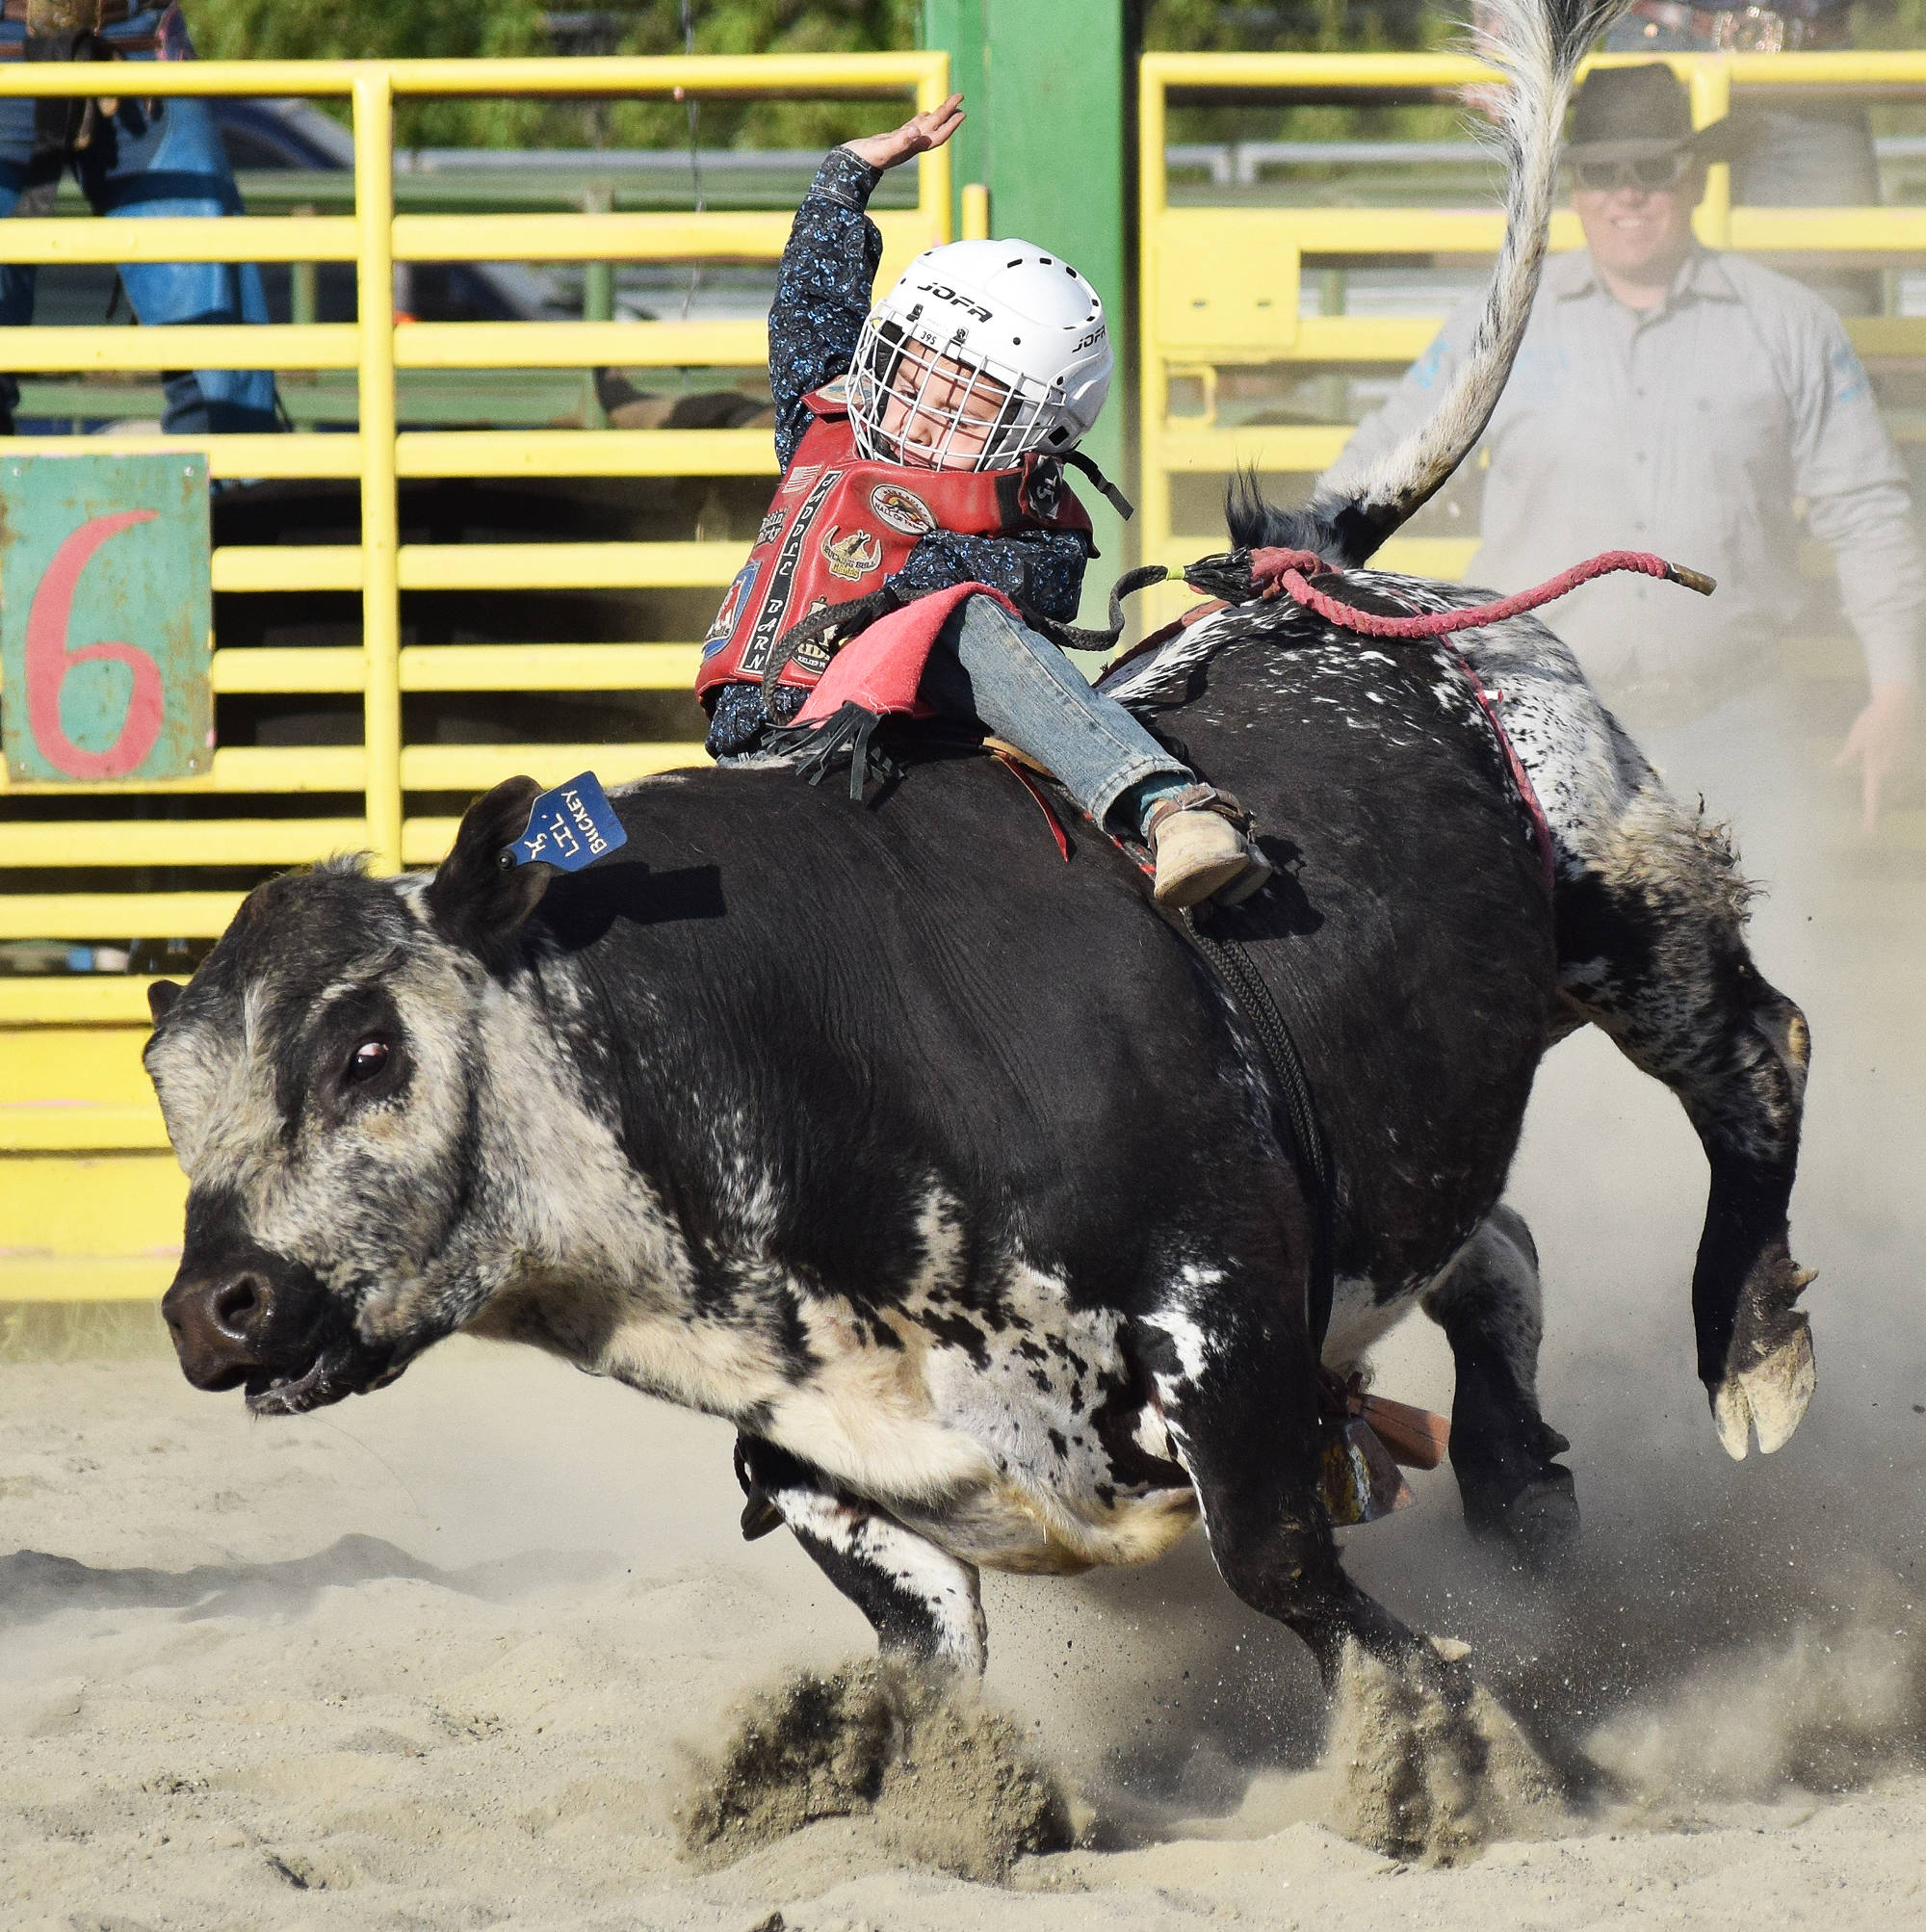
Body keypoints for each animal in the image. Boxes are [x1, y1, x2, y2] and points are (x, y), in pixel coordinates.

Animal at [146, 0, 1800, 1839]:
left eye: (370, 1052)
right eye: (177, 1094)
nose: (211, 1310)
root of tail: (1320, 574)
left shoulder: (1228, 1322)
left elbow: (1287, 1571)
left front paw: (1454, 1758)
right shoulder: (823, 1460)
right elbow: (931, 1646)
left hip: (1618, 896)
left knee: (1755, 1057)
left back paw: (1748, 1344)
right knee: (1495, 1247)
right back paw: (1523, 1493)